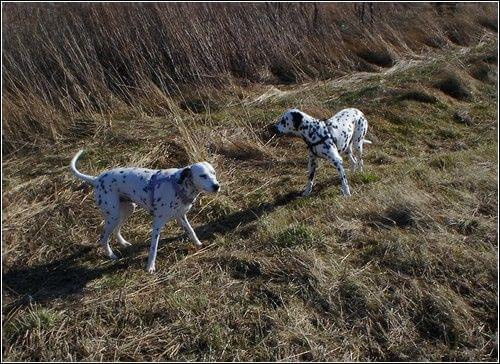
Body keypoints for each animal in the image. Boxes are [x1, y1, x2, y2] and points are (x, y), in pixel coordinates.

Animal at [70, 150, 219, 272]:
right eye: (203, 176)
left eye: (213, 173)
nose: (217, 186)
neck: (178, 185)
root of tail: (97, 179)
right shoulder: (157, 223)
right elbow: (153, 248)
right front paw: (150, 267)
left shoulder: (181, 217)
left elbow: (191, 231)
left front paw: (199, 244)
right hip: (113, 216)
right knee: (103, 238)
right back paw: (111, 255)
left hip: (127, 210)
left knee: (116, 230)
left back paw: (123, 243)